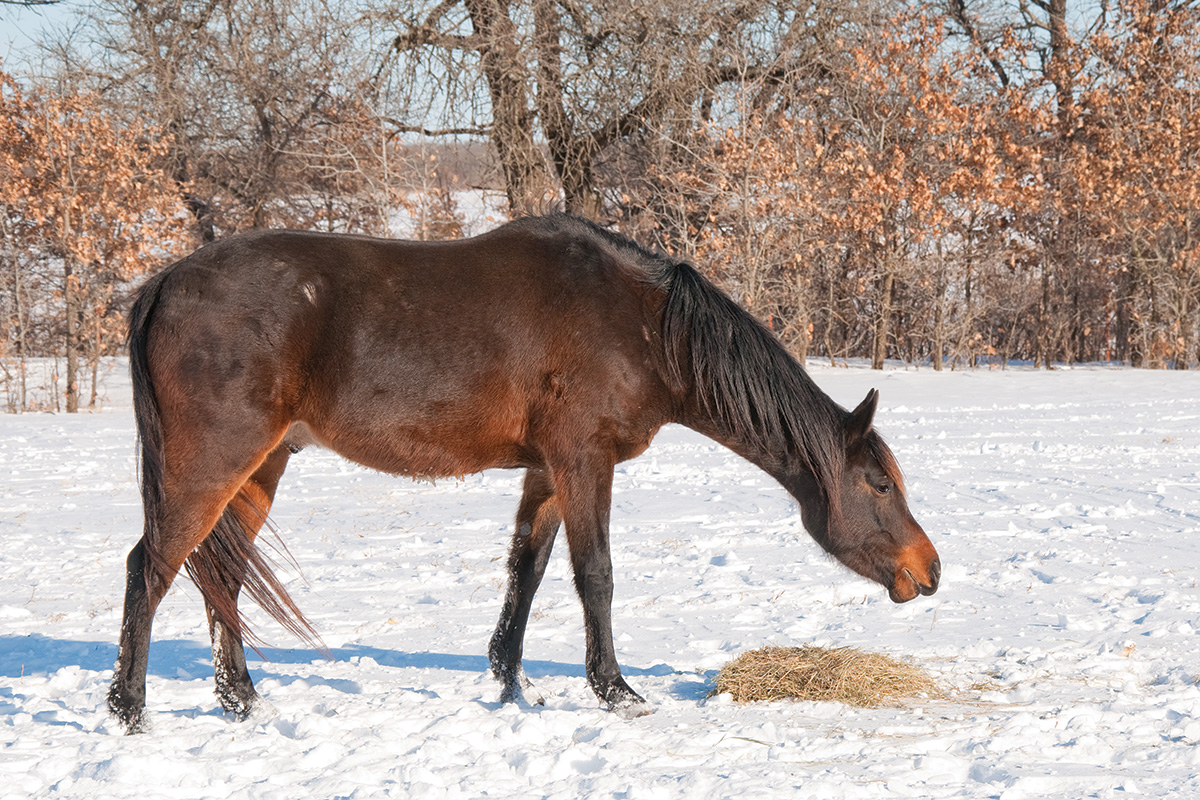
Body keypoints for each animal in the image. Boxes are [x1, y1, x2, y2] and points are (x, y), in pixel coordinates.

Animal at [108, 211, 940, 734]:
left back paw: (240, 700)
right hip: (211, 463)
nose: (928, 570)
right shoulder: (584, 460)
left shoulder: (547, 472)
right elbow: (595, 575)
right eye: (879, 484)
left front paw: (510, 684)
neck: (643, 326)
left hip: (260, 466)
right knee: (151, 565)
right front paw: (617, 691)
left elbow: (527, 573)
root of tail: (162, 284)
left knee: (221, 573)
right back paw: (130, 709)